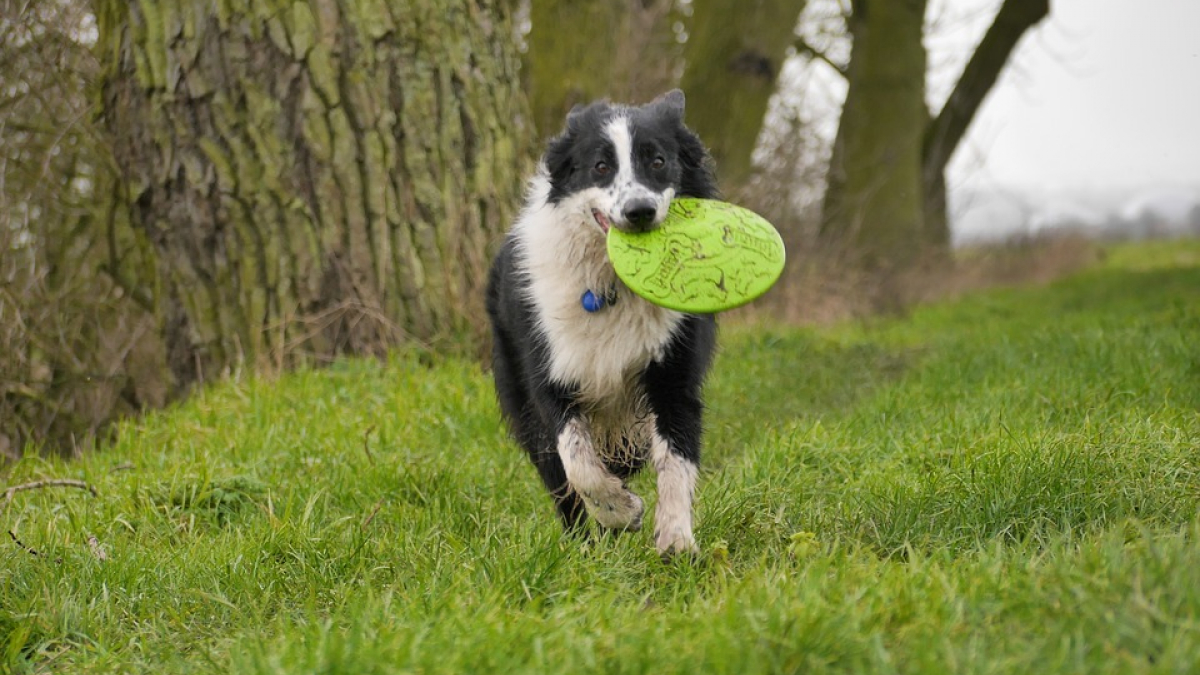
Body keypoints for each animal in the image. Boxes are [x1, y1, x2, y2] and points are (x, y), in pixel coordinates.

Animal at [484, 90, 715, 552]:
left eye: (658, 161)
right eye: (601, 166)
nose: (640, 211)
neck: (614, 282)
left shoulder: (672, 370)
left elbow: (676, 457)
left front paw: (676, 540)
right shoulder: (551, 374)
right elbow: (579, 463)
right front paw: (620, 511)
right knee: (561, 478)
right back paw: (583, 546)